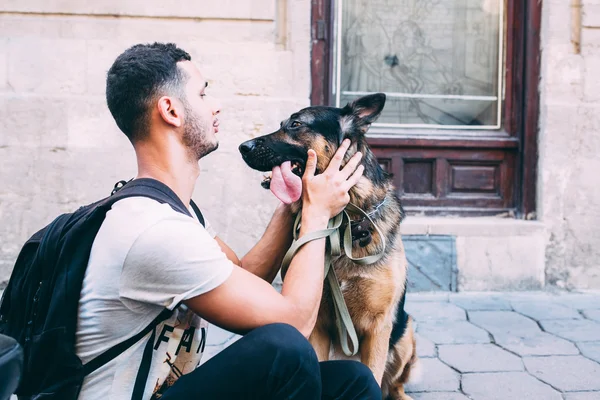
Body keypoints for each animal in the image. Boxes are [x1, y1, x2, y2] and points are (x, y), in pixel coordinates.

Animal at [238, 94, 418, 400]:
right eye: (282, 124)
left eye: (296, 124)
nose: (243, 147)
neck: (344, 225)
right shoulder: (318, 325)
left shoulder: (379, 327)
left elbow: (373, 373)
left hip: (405, 334)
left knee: (394, 383)